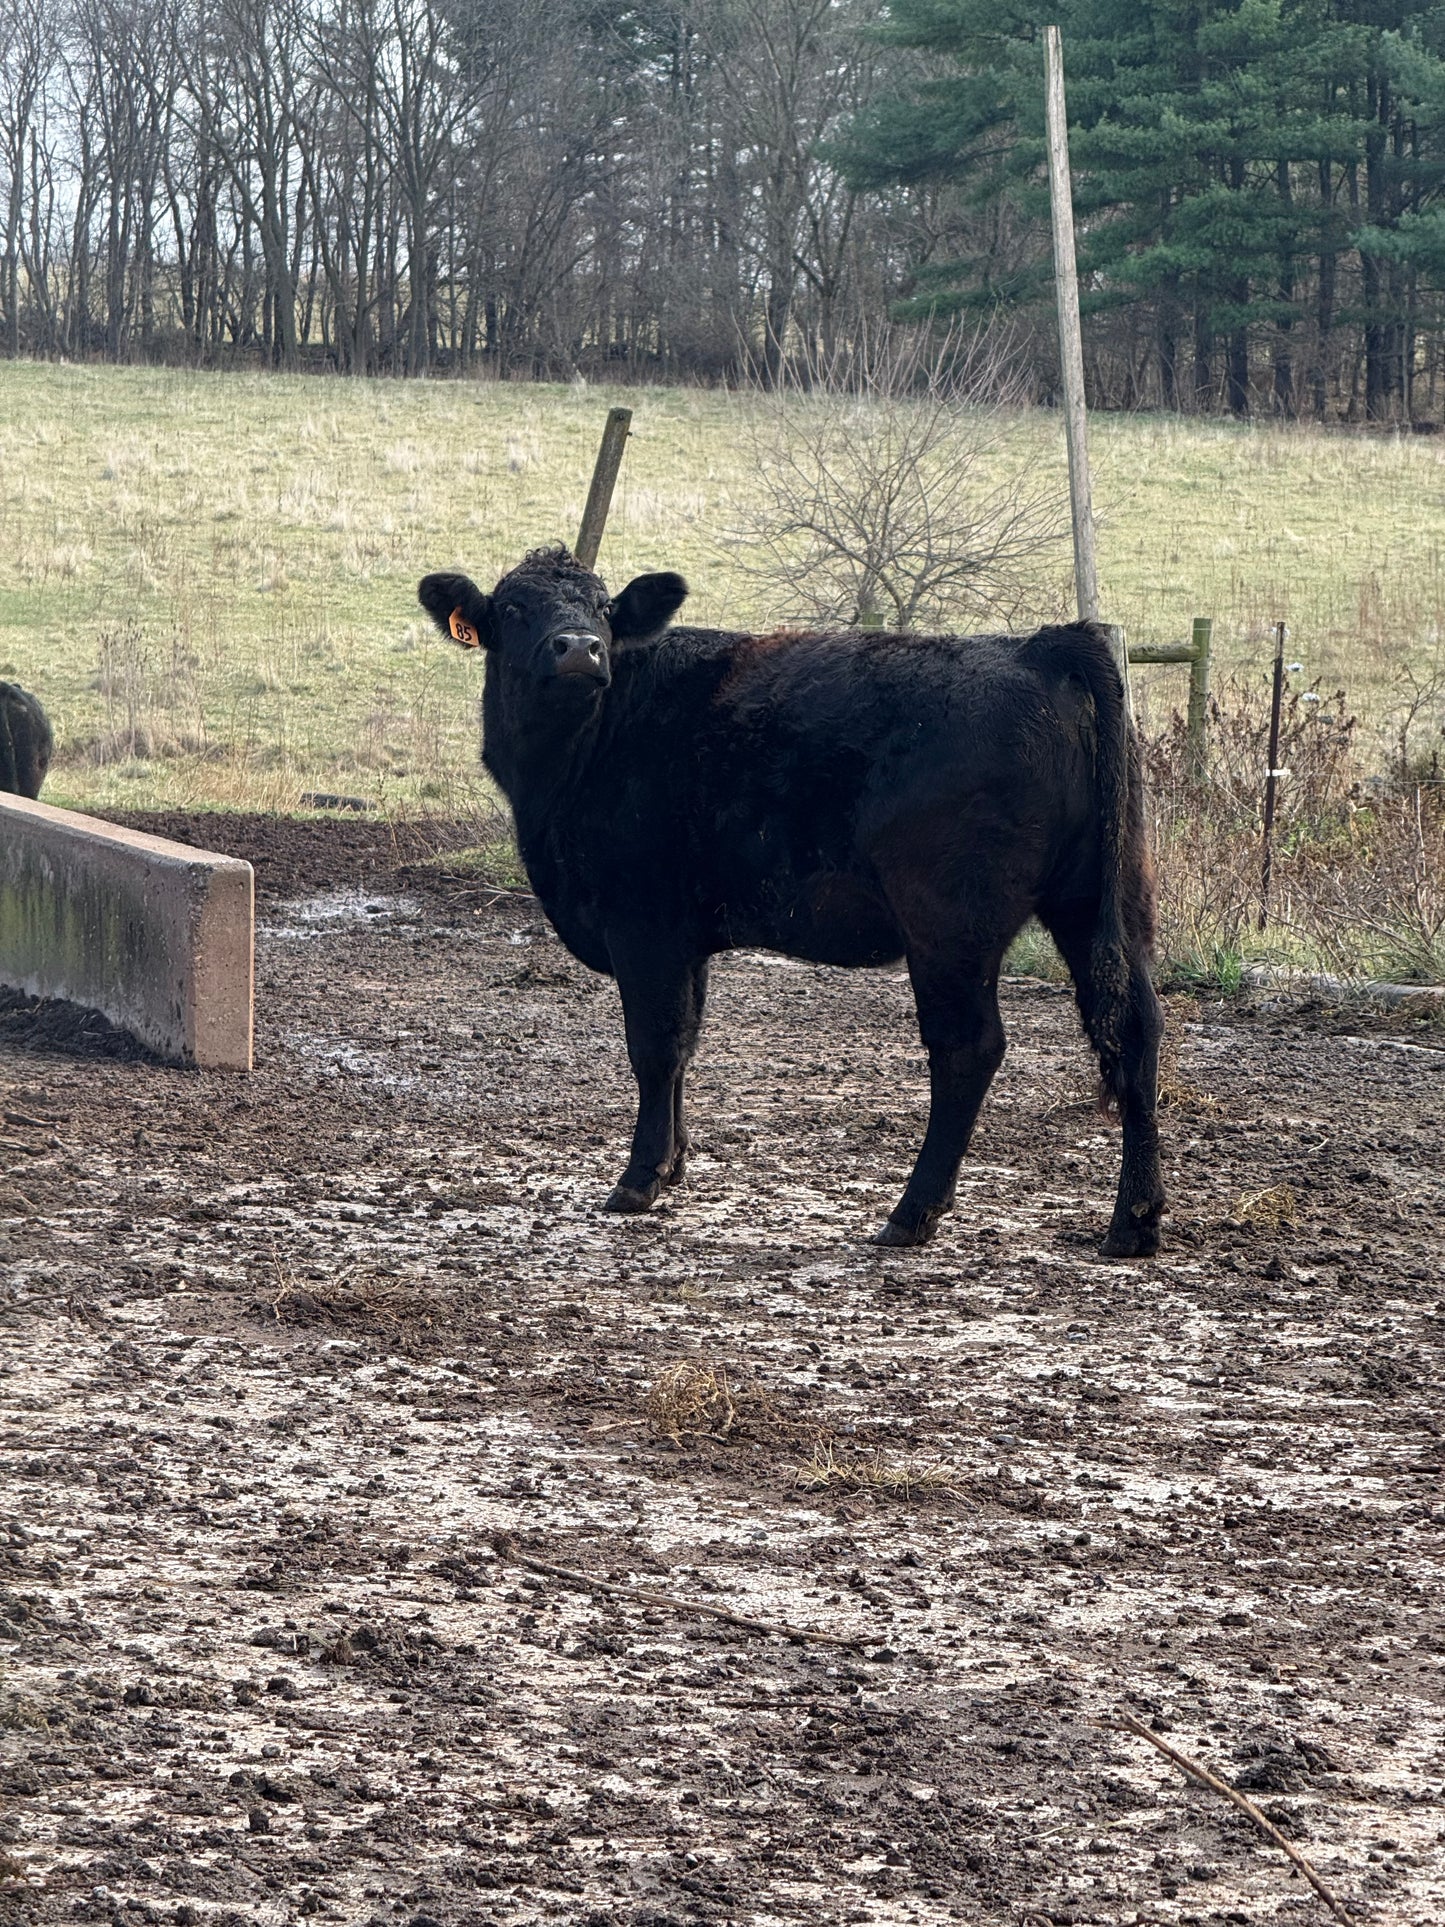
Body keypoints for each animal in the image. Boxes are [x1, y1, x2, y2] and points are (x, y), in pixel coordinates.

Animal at [418, 546, 1164, 1256]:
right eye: (513, 609)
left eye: (604, 608)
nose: (578, 647)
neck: (576, 756)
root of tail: (1037, 646)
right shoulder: (685, 938)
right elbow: (685, 1042)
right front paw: (674, 1164)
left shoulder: (642, 922)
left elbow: (653, 1045)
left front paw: (639, 1178)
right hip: (1099, 903)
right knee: (1134, 1029)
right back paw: (1134, 1221)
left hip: (949, 923)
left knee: (967, 1049)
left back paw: (912, 1211)